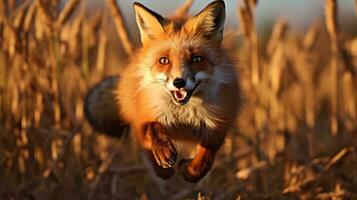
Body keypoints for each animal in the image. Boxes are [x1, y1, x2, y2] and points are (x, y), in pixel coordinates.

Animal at [84, 0, 239, 182]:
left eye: (197, 59)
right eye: (164, 61)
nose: (179, 82)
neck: (183, 116)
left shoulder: (219, 124)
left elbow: (206, 157)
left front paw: (190, 170)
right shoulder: (145, 115)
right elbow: (152, 127)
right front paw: (163, 154)